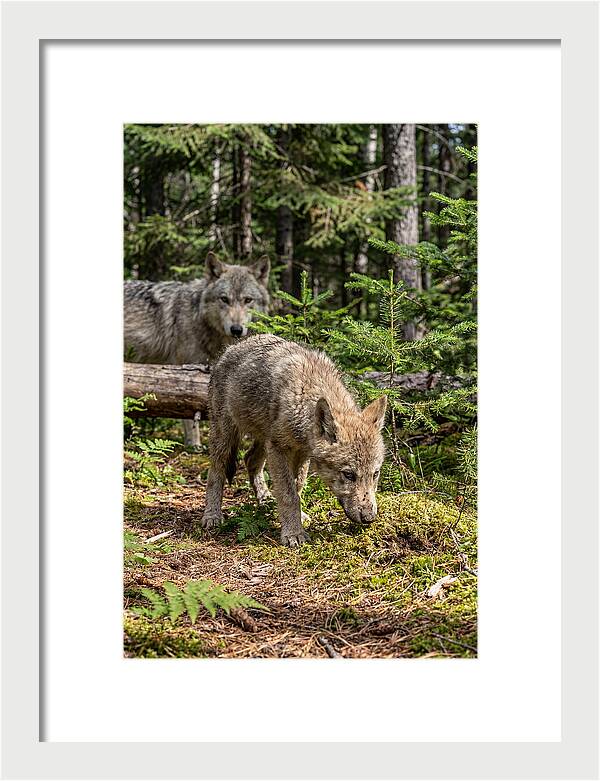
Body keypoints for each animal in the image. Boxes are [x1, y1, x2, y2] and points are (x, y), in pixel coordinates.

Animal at [124, 253, 270, 446]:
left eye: (248, 300)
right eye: (224, 299)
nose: (236, 329)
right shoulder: (185, 372)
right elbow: (189, 415)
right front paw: (194, 445)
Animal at [201, 334, 387, 546]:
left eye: (375, 474)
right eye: (349, 475)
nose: (369, 517)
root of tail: (229, 349)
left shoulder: (302, 453)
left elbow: (297, 487)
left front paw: (298, 518)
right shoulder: (279, 449)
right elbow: (288, 494)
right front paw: (293, 534)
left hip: (264, 440)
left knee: (250, 460)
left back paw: (265, 500)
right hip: (226, 436)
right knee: (216, 471)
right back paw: (212, 515)